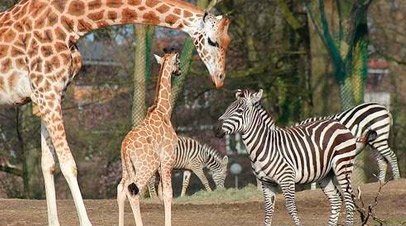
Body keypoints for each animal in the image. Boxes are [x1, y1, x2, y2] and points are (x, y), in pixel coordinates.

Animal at [117, 50, 181, 226]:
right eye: (178, 61)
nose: (179, 71)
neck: (163, 111)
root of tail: (125, 147)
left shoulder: (160, 165)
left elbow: (161, 194)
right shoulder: (167, 159)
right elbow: (168, 193)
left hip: (127, 167)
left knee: (121, 188)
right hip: (147, 166)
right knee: (133, 190)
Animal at [216, 89, 378, 226]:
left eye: (239, 110)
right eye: (227, 109)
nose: (216, 130)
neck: (264, 146)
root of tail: (340, 125)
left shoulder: (286, 179)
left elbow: (291, 208)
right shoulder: (266, 183)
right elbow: (268, 210)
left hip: (342, 166)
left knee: (349, 200)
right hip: (325, 174)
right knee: (336, 200)